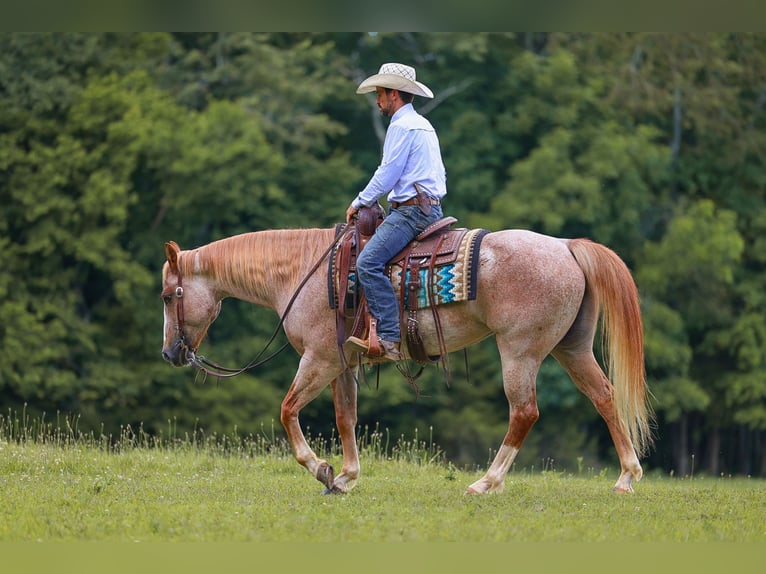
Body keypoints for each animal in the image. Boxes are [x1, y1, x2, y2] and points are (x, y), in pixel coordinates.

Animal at [160, 225, 654, 495]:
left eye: (168, 295)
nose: (170, 353)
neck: (304, 271)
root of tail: (566, 246)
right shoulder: (341, 363)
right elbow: (345, 418)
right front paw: (346, 477)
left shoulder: (319, 359)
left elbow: (287, 411)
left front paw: (321, 469)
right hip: (571, 347)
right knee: (604, 397)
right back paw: (627, 477)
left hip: (520, 349)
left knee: (524, 412)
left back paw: (485, 483)